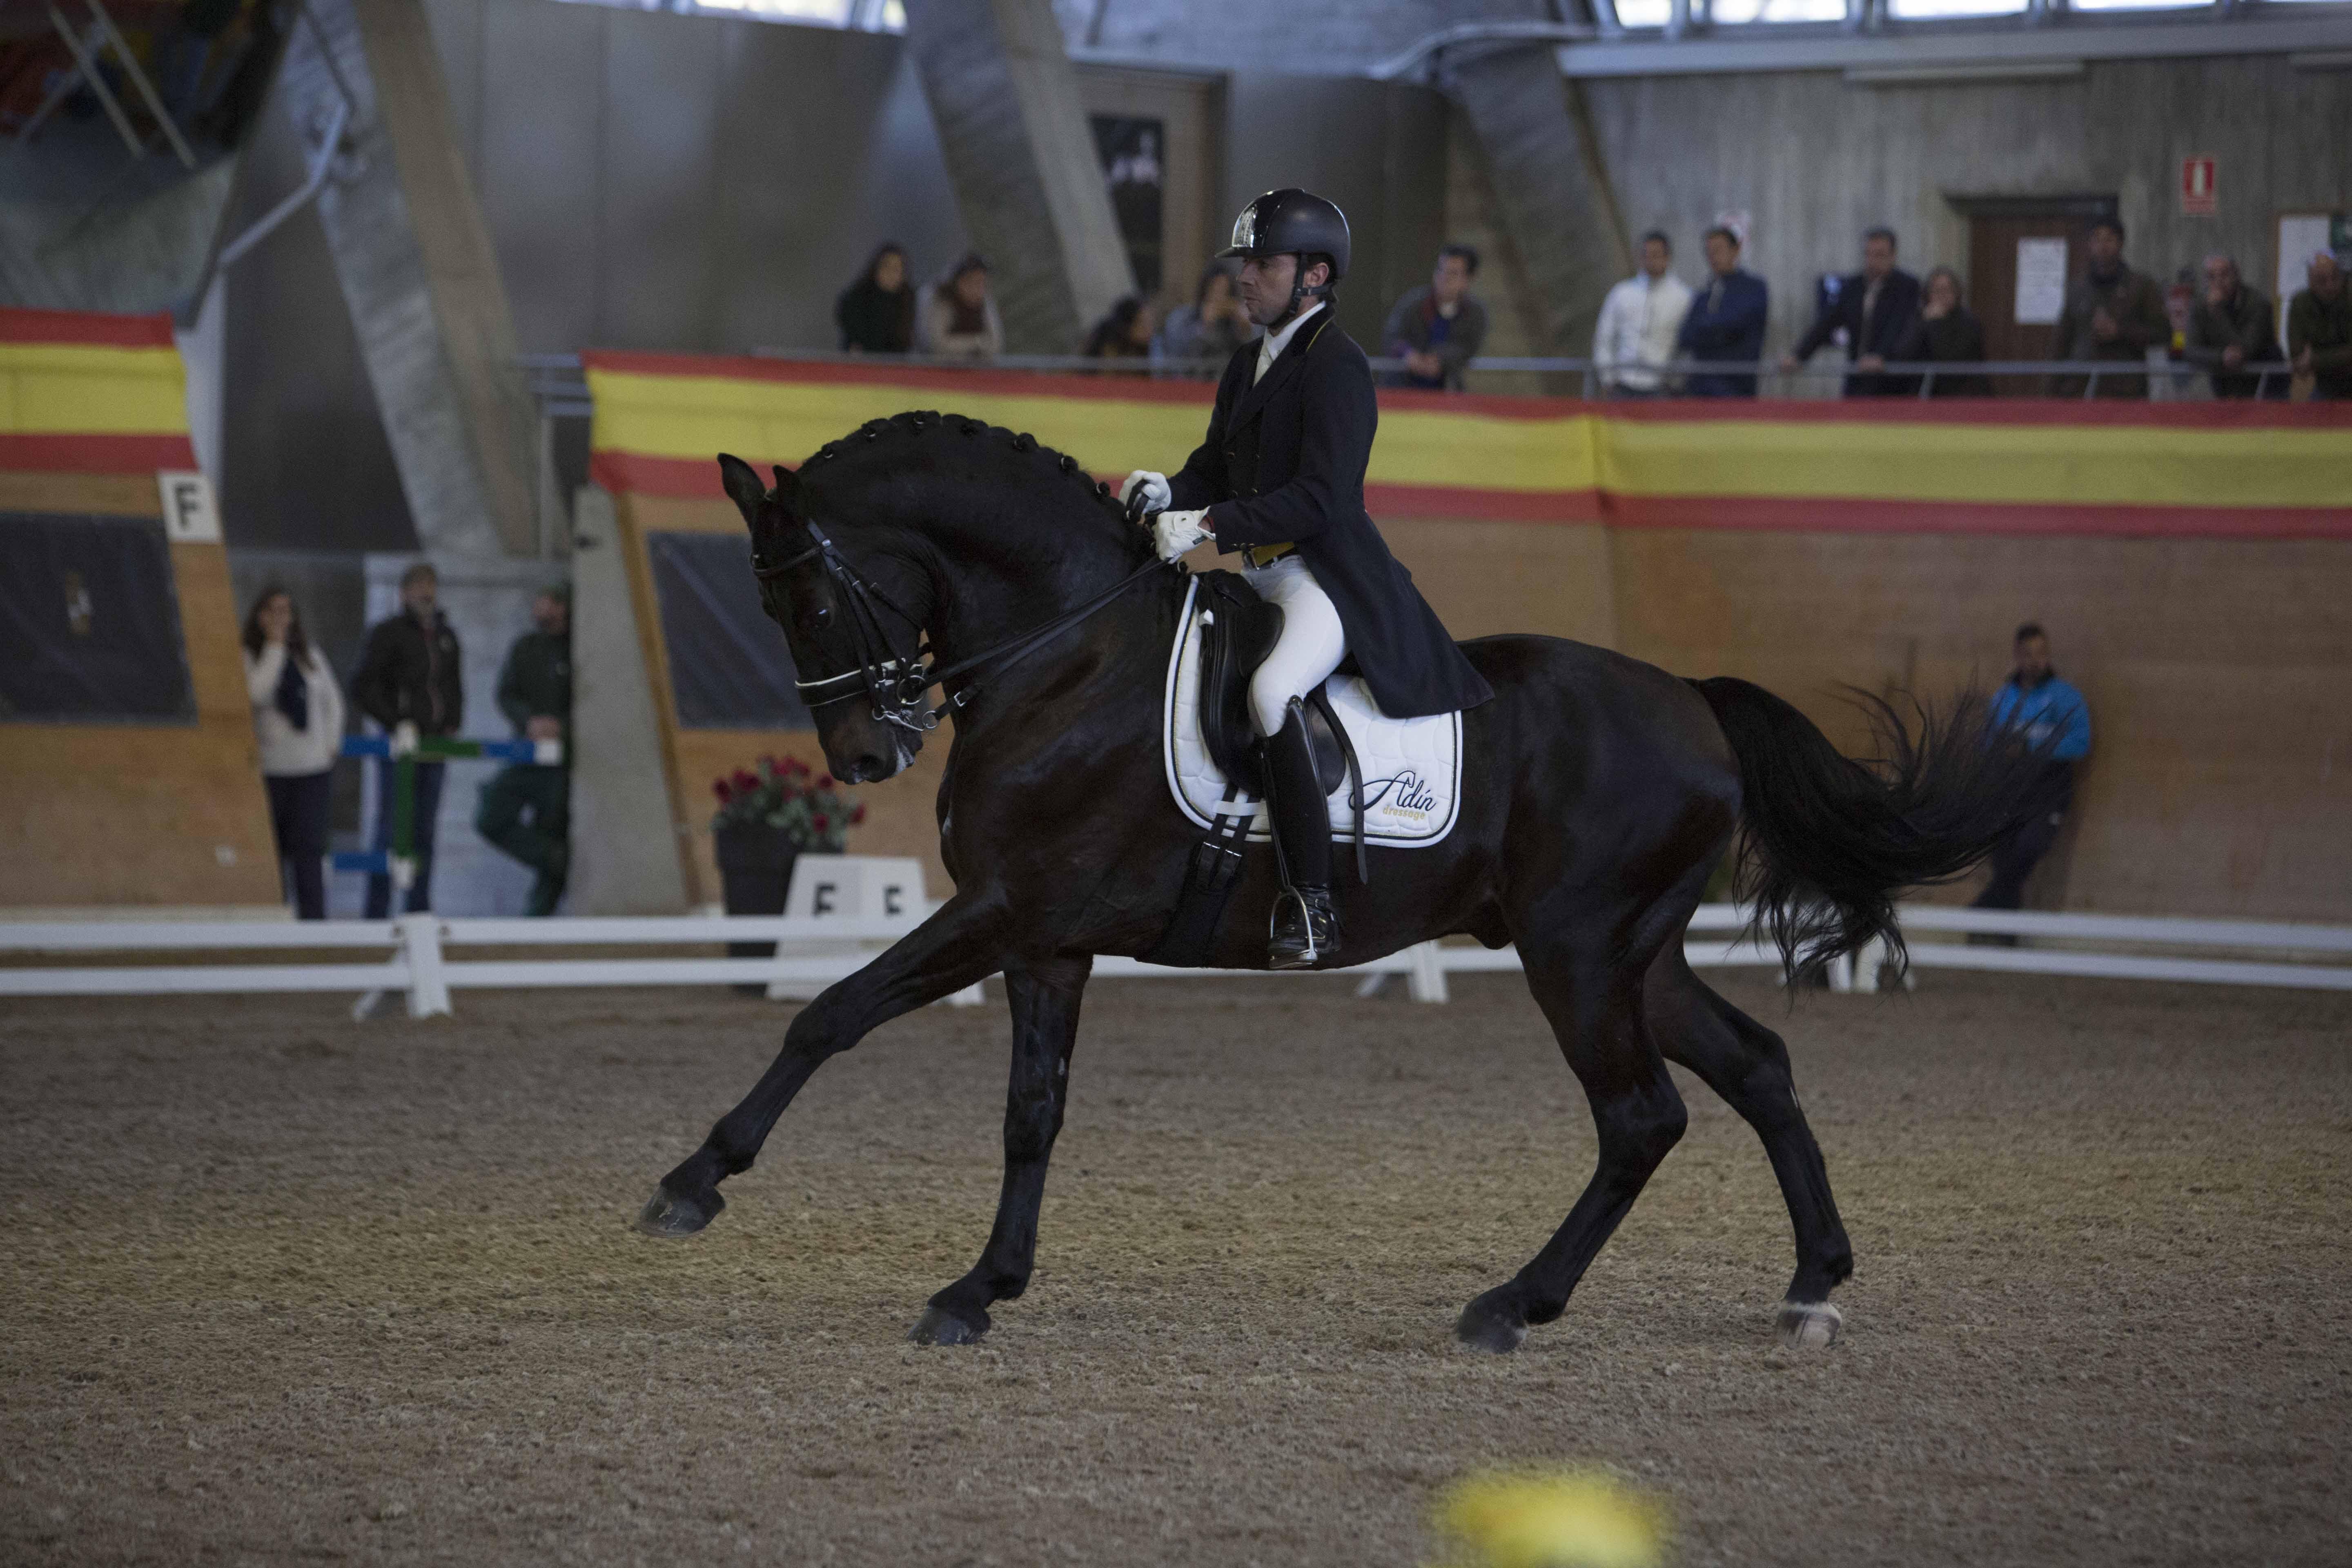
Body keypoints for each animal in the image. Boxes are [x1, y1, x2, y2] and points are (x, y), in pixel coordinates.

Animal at [639, 416, 2041, 1363]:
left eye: (813, 598)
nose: (863, 758)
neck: (1065, 654)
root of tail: (1694, 698)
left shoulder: (1001, 909)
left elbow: (831, 1012)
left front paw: (695, 1180)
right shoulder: (1044, 937)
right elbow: (1031, 1112)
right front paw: (980, 1288)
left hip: (1579, 954)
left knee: (1641, 1118)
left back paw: (1513, 1304)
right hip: (1639, 955)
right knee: (1756, 1068)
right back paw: (1812, 1283)